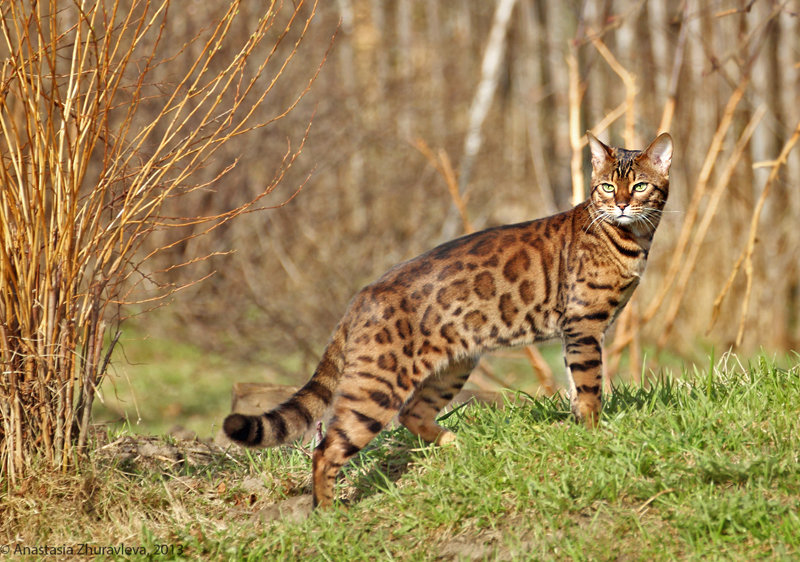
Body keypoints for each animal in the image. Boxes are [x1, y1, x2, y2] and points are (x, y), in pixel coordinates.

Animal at [222, 131, 672, 508]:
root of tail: (362, 295)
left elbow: (576, 387)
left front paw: (579, 428)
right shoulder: (584, 325)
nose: (622, 204)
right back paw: (328, 512)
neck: (629, 239)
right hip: (377, 386)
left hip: (454, 366)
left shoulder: (574, 332)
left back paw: (458, 445)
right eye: (608, 186)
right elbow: (590, 386)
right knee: (327, 447)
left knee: (412, 414)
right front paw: (596, 435)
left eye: (640, 185)